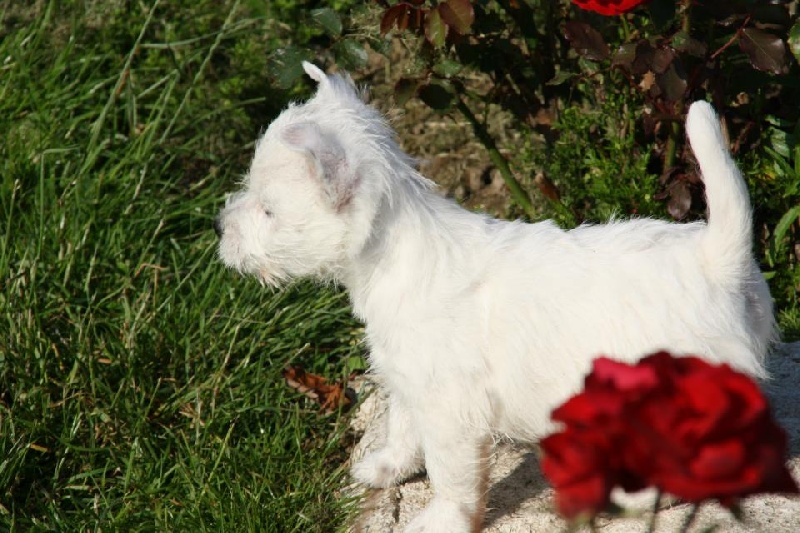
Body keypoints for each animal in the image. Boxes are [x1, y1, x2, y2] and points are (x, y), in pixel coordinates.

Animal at [216, 63, 780, 532]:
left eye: (267, 210)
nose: (220, 226)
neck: (394, 256)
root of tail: (716, 257)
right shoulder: (409, 381)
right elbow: (402, 428)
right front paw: (386, 467)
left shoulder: (451, 411)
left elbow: (451, 477)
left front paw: (440, 521)